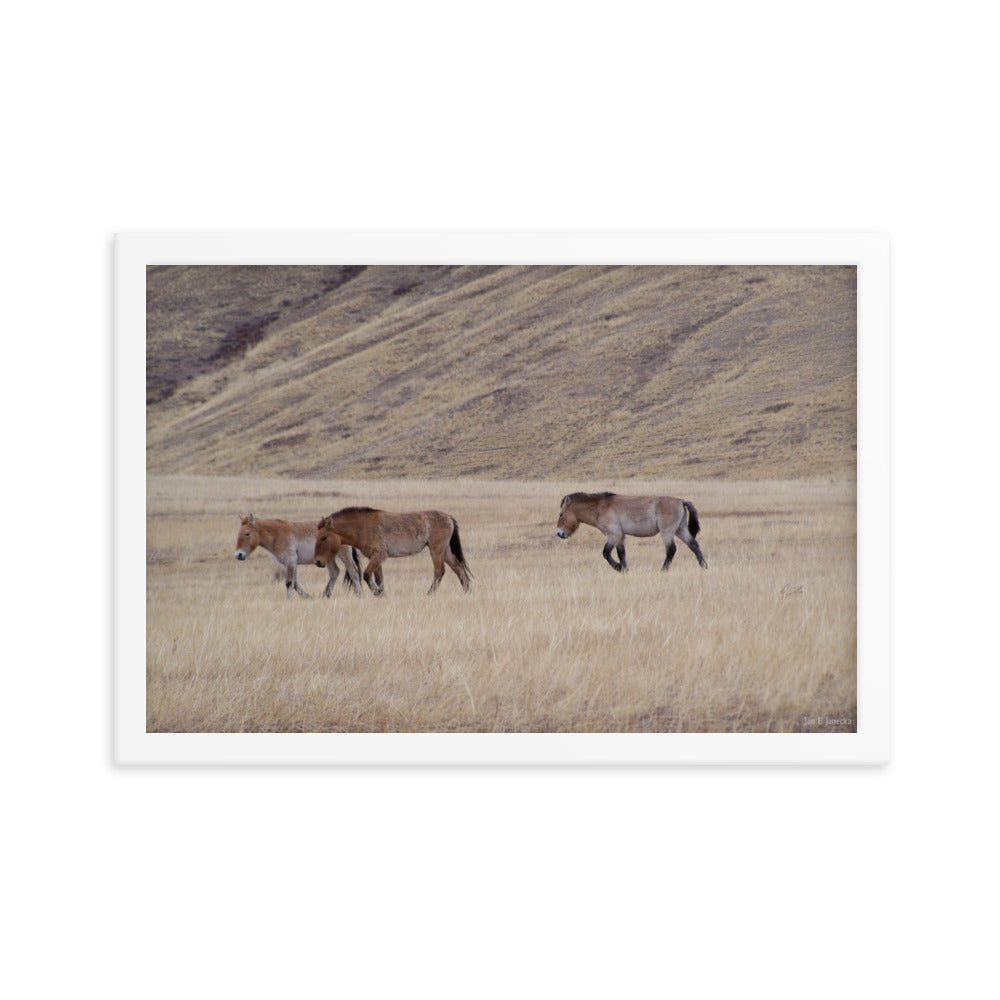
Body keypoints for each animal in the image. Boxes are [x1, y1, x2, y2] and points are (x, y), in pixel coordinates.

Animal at [315, 507, 472, 596]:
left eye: (324, 537)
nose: (318, 561)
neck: (364, 526)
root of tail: (449, 517)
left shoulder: (379, 555)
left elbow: (366, 575)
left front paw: (376, 592)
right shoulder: (375, 558)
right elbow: (379, 578)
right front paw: (381, 593)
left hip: (436, 550)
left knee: (439, 571)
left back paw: (430, 593)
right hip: (445, 551)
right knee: (458, 567)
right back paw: (467, 591)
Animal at [555, 491, 708, 573]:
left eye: (561, 514)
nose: (559, 533)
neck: (601, 507)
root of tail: (681, 501)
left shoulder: (613, 535)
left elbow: (606, 553)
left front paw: (618, 567)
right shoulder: (620, 537)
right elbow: (621, 554)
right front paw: (624, 569)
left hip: (667, 532)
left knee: (671, 550)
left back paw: (663, 570)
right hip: (680, 530)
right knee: (694, 545)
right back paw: (704, 566)